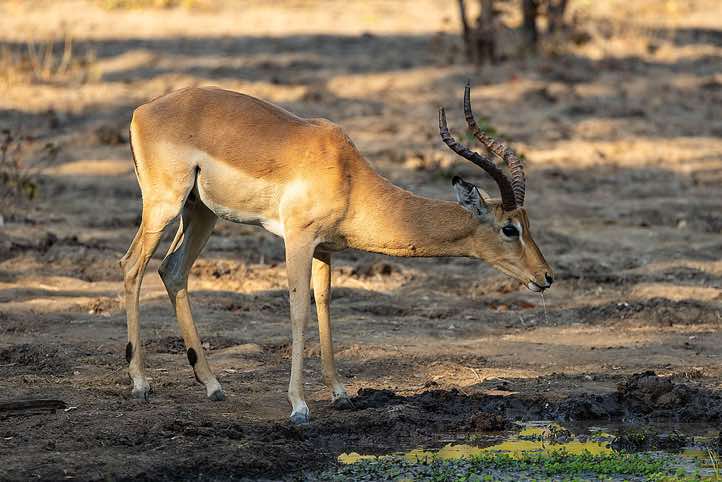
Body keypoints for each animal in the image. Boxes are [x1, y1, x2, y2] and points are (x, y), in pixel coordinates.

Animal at [120, 82, 553, 424]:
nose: (546, 277)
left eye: (528, 222)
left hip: (201, 212)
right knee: (131, 266)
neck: (347, 175)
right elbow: (299, 310)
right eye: (509, 228)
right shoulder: (296, 239)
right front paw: (299, 406)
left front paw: (341, 393)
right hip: (164, 206)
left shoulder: (324, 248)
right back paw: (140, 384)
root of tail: (143, 110)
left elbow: (324, 303)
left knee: (173, 271)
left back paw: (212, 385)